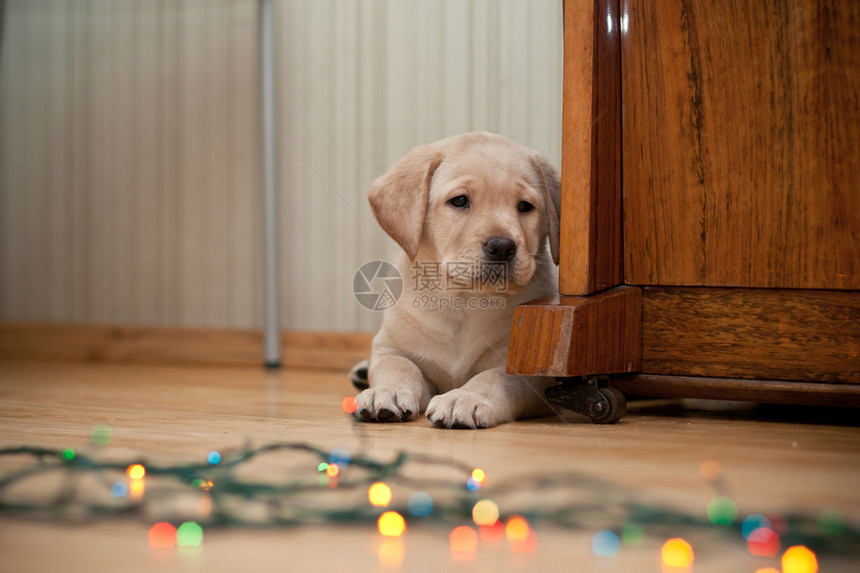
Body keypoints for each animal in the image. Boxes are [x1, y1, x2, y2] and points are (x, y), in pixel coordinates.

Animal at [354, 132, 560, 426]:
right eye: (460, 201)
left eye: (525, 206)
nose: (502, 247)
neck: (464, 300)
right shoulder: (391, 348)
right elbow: (399, 366)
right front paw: (385, 391)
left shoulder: (532, 375)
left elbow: (494, 377)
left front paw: (464, 397)